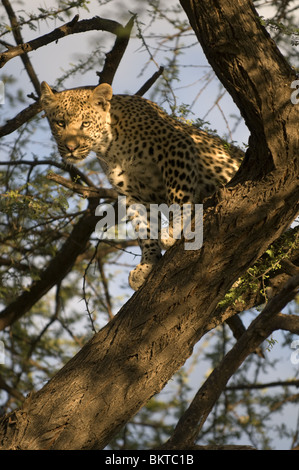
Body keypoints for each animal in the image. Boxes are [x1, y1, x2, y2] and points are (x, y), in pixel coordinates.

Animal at [40, 82, 244, 292]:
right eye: (60, 123)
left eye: (86, 123)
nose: (70, 147)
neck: (110, 145)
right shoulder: (133, 193)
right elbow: (143, 226)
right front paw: (147, 263)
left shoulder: (176, 146)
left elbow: (178, 195)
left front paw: (173, 229)